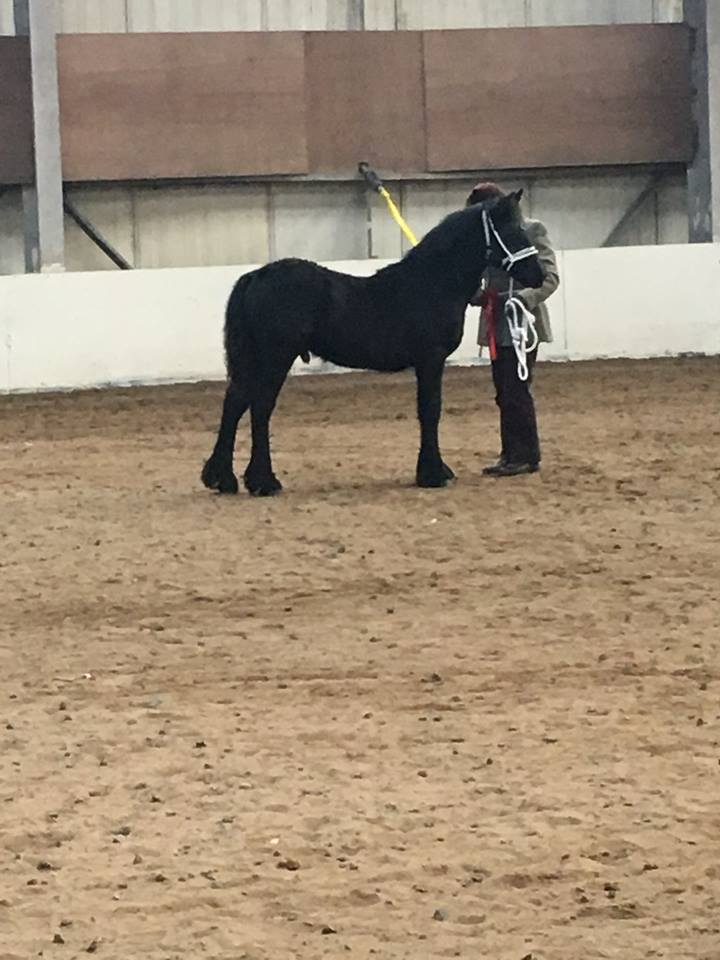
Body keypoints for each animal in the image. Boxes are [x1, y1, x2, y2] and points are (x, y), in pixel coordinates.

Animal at [201, 191, 540, 498]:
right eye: (512, 232)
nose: (538, 273)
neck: (431, 283)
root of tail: (257, 275)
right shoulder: (431, 359)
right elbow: (430, 410)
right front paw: (432, 474)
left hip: (255, 359)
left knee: (235, 403)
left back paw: (224, 480)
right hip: (275, 358)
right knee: (260, 408)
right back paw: (264, 482)